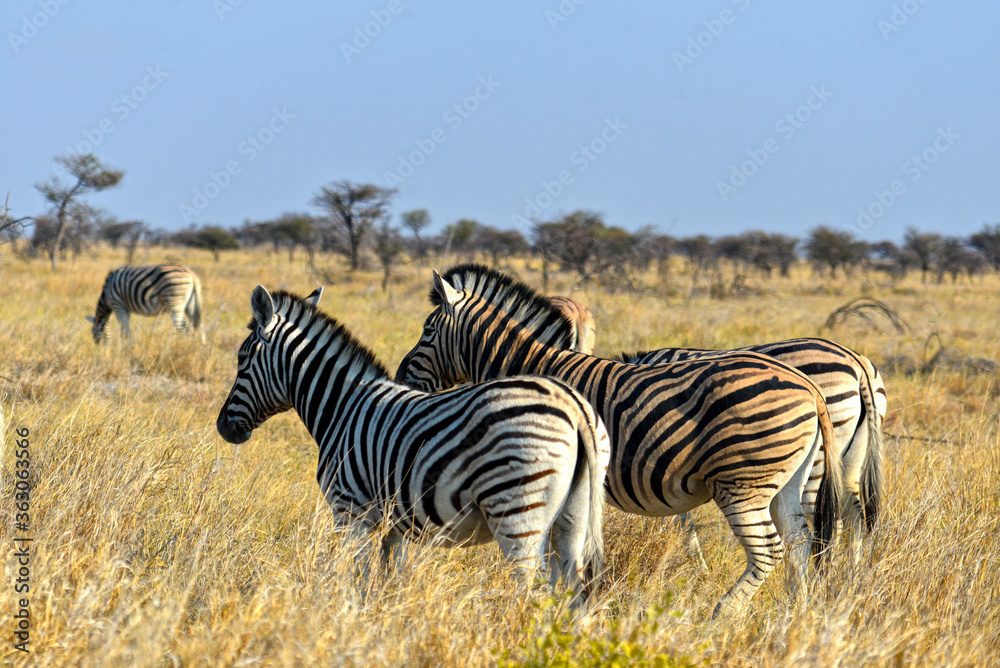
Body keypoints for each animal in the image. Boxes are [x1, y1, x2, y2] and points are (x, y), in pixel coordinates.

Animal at [216, 285, 608, 601]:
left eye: (241, 359)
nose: (223, 427)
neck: (342, 407)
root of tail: (573, 408)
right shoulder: (397, 524)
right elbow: (390, 576)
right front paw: (387, 618)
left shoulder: (350, 510)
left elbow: (356, 575)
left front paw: (349, 615)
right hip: (573, 516)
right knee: (574, 588)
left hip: (516, 510)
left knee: (532, 588)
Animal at [396, 265, 845, 617]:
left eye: (427, 331)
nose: (400, 377)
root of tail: (808, 387)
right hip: (788, 480)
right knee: (799, 542)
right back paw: (797, 612)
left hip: (743, 482)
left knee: (768, 550)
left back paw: (724, 613)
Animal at [621, 341, 885, 564]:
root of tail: (857, 363)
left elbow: (683, 525)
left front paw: (697, 569)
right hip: (851, 459)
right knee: (855, 517)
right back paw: (849, 579)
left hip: (819, 461)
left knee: (830, 522)